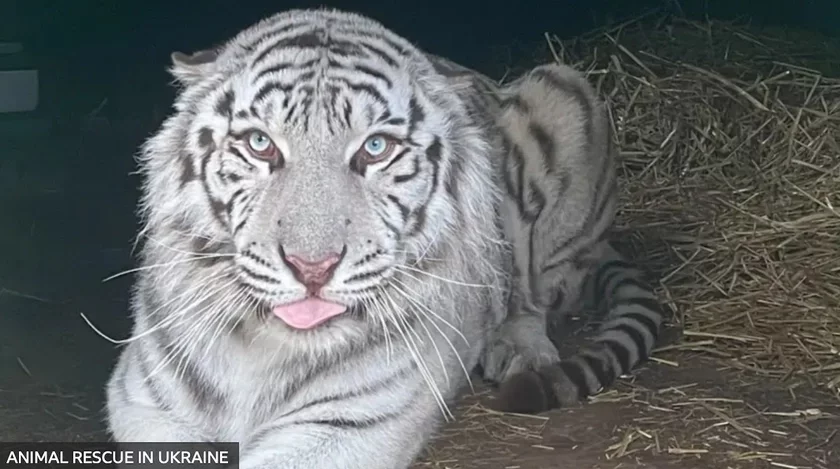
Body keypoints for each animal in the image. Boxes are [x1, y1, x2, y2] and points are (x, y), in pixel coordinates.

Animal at [105, 8, 664, 468]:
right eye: (260, 143)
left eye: (375, 149)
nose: (312, 268)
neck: (261, 347)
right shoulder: (147, 406)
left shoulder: (347, 424)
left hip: (564, 91)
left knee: (532, 294)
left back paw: (520, 350)